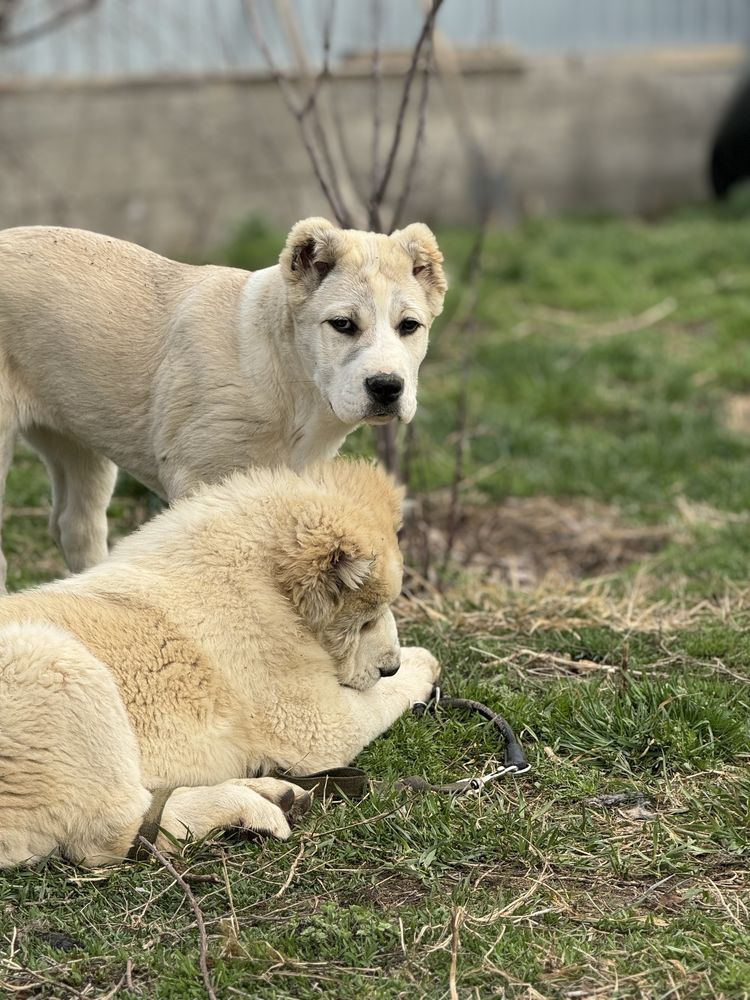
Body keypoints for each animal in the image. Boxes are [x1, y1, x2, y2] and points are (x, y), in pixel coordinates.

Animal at [0, 215, 446, 584]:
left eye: (409, 326)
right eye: (342, 325)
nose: (387, 386)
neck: (290, 380)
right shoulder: (197, 479)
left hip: (79, 437)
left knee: (76, 526)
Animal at [0, 458, 440, 868]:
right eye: (366, 621)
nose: (389, 666)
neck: (267, 587)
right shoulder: (314, 721)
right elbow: (371, 704)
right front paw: (421, 663)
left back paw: (273, 792)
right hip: (55, 665)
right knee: (110, 835)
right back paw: (249, 808)